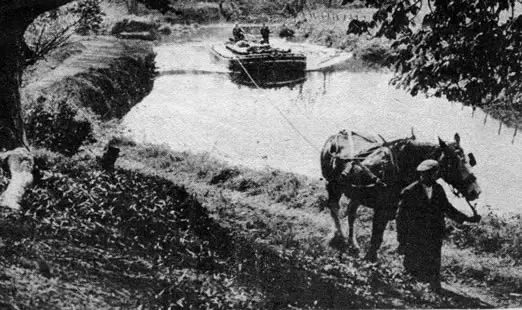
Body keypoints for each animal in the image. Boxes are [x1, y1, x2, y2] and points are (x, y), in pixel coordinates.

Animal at [318, 130, 482, 260]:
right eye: (452, 161)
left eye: (468, 160)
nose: (475, 191)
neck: (400, 165)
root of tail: (334, 136)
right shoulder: (382, 209)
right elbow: (377, 236)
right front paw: (370, 259)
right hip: (333, 185)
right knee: (334, 208)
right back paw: (338, 236)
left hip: (356, 194)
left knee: (351, 213)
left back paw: (353, 243)